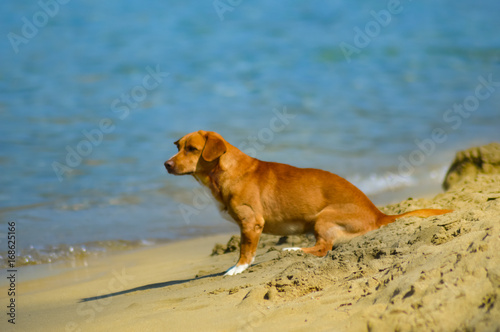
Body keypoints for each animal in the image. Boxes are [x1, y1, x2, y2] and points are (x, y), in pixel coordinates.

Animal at [165, 130, 454, 274]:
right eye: (178, 146)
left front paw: (238, 269)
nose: (166, 164)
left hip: (323, 217)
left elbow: (245, 250)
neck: (224, 171)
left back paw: (293, 250)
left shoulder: (250, 223)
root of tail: (379, 214)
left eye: (192, 149)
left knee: (323, 248)